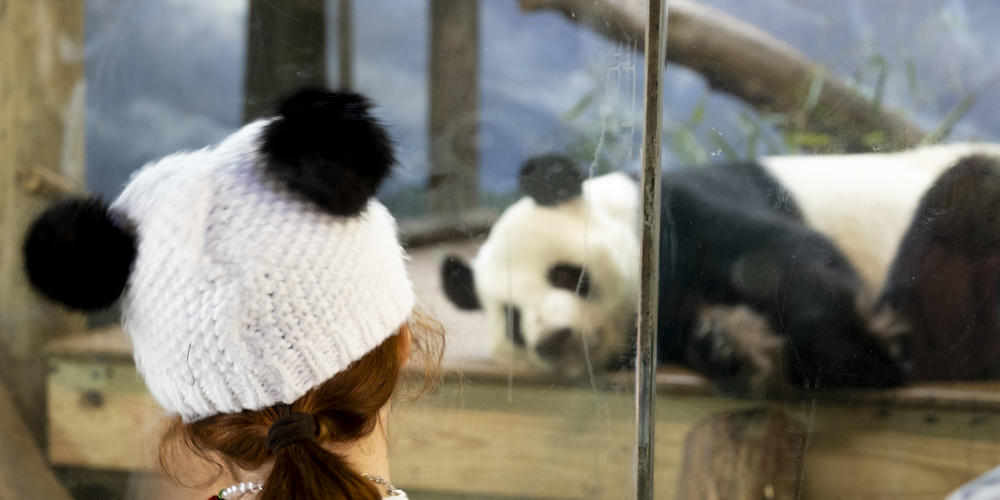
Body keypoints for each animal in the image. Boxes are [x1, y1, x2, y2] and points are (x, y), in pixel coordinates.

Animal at [442, 145, 1000, 394]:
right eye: (513, 321)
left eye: (565, 275)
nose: (553, 340)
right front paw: (731, 346)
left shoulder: (685, 210)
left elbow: (784, 255)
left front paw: (858, 353)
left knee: (970, 192)